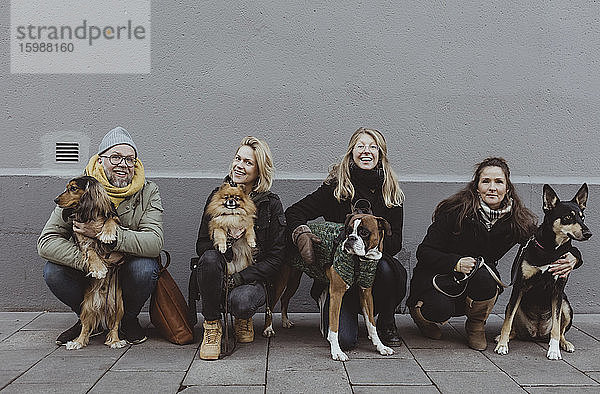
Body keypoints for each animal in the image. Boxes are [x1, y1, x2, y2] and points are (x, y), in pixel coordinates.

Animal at [494, 183, 592, 358]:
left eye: (583, 217)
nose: (588, 233)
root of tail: (536, 334)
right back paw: (502, 337)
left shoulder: (558, 290)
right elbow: (507, 321)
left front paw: (554, 350)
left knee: (561, 330)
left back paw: (565, 343)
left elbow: (556, 327)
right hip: (514, 305)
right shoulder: (519, 286)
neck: (550, 250)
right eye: (568, 217)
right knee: (513, 326)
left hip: (566, 305)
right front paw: (502, 345)